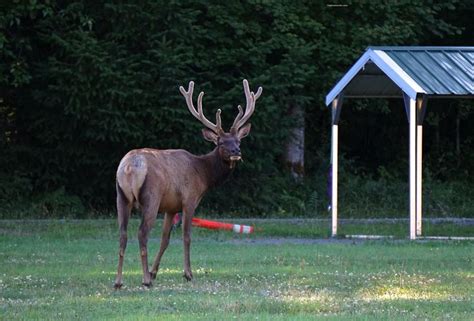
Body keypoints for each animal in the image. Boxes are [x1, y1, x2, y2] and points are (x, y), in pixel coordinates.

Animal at [115, 79, 262, 286]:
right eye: (221, 143)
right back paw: (145, 280)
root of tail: (130, 167)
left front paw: (154, 271)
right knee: (142, 233)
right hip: (151, 197)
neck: (202, 174)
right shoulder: (189, 199)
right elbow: (186, 237)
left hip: (121, 196)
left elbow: (165, 239)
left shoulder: (170, 207)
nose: (236, 152)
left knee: (123, 234)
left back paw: (119, 281)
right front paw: (187, 273)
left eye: (238, 141)